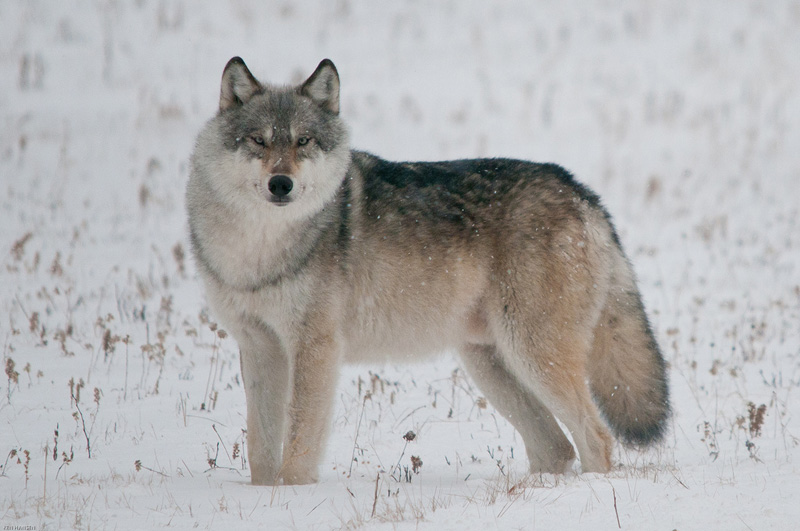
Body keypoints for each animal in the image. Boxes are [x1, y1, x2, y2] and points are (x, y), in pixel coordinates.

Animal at [186, 57, 668, 486]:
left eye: (303, 141)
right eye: (258, 140)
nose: (281, 184)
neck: (259, 248)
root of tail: (582, 191)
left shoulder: (315, 348)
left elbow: (299, 446)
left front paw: (290, 497)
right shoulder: (259, 347)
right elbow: (261, 451)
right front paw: (262, 499)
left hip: (532, 354)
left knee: (596, 439)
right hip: (489, 363)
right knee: (556, 447)